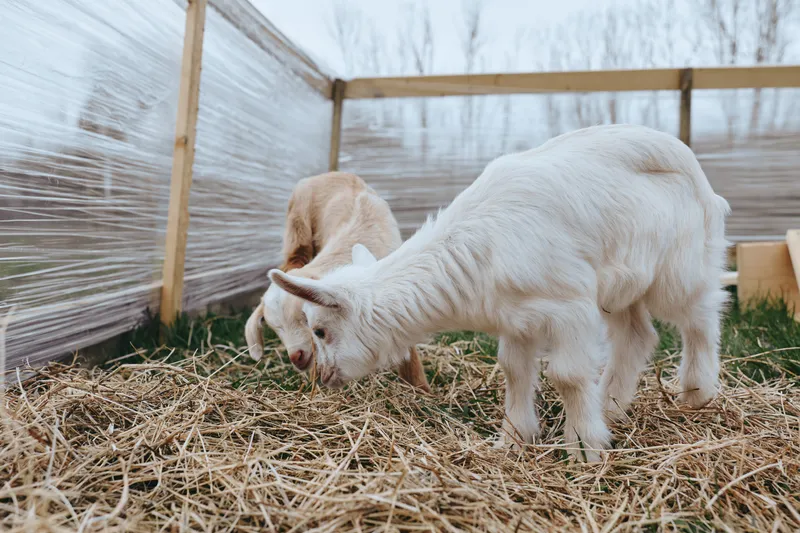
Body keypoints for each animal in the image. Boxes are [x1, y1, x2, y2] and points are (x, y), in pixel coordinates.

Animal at [245, 171, 429, 393]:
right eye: (276, 328)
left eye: (305, 317)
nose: (296, 357)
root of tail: (330, 173)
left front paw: (421, 390)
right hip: (298, 226)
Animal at [268, 125, 730, 461]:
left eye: (321, 331)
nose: (323, 377)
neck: (481, 246)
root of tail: (698, 173)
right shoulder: (517, 317)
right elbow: (514, 370)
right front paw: (513, 439)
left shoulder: (570, 307)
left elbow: (566, 374)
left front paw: (584, 447)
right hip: (619, 285)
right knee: (637, 335)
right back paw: (611, 405)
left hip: (678, 267)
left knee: (701, 314)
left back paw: (696, 392)